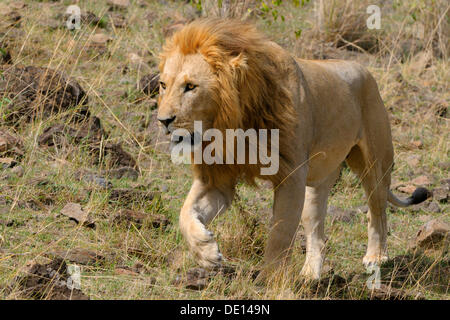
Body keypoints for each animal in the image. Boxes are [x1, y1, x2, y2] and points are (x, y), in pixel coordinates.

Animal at [156, 18, 430, 278]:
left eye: (191, 86)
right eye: (163, 85)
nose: (163, 121)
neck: (233, 124)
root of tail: (364, 70)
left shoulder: (291, 175)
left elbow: (280, 233)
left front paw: (269, 280)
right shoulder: (217, 178)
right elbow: (185, 213)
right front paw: (206, 252)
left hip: (374, 164)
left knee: (378, 211)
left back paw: (376, 256)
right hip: (318, 183)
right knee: (317, 230)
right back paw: (310, 274)